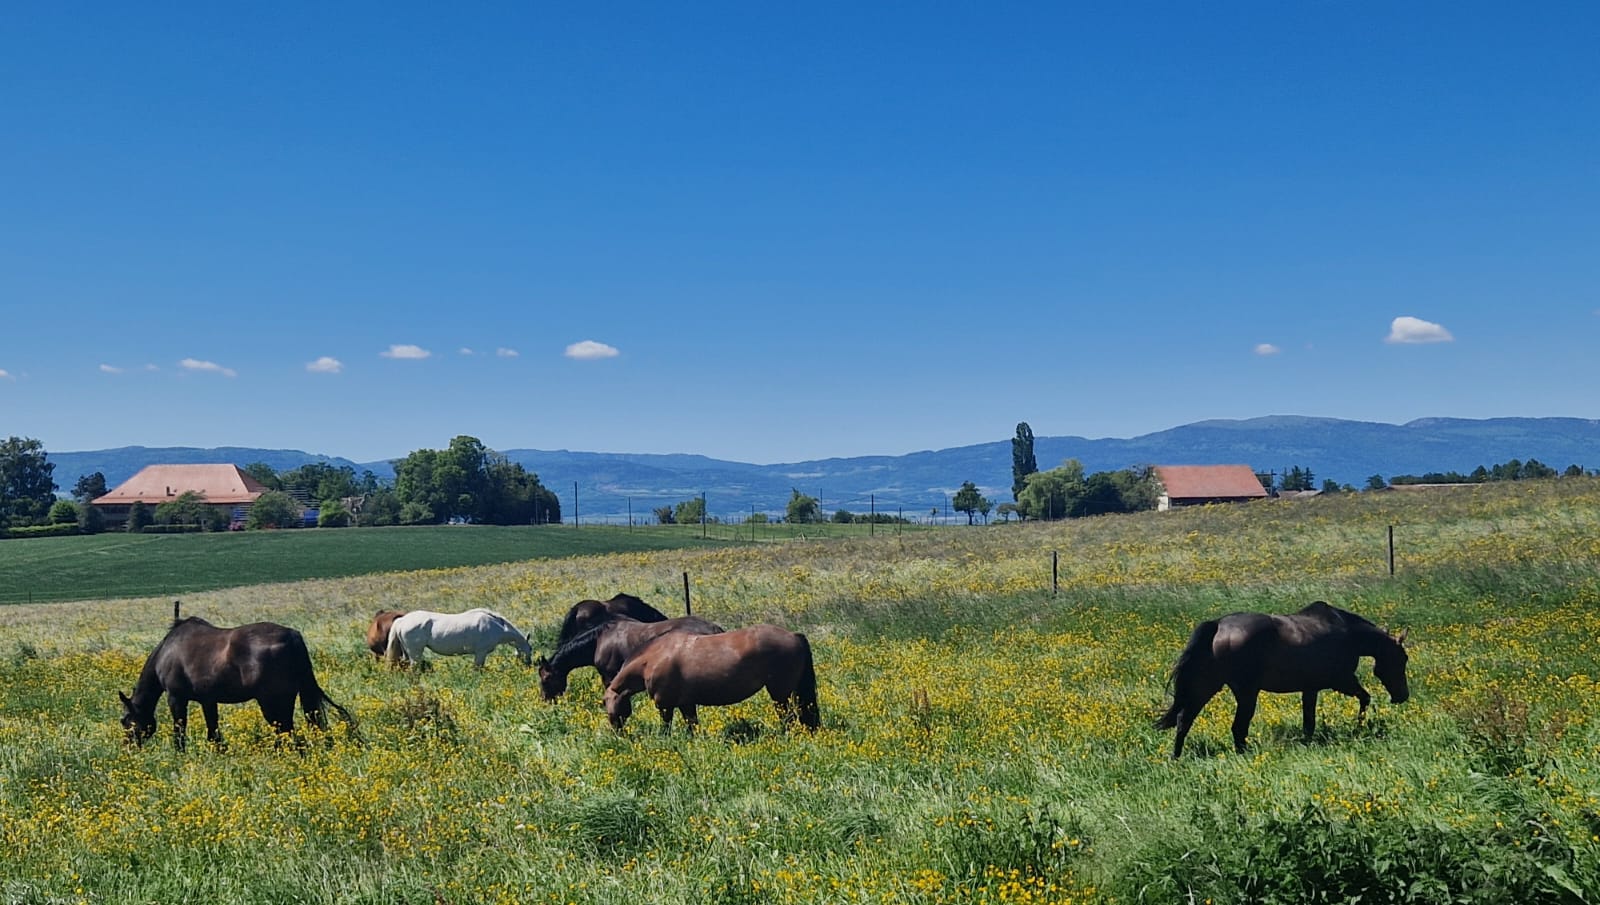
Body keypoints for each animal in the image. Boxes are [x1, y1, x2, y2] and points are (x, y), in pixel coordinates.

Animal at [118, 616, 356, 750]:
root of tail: (292, 635)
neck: (168, 651)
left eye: (125, 721)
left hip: (273, 702)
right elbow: (213, 733)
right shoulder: (208, 700)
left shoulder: (176, 698)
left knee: (287, 733)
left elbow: (180, 731)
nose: (128, 749)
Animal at [384, 608, 533, 668]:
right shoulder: (481, 653)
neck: (495, 626)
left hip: (407, 653)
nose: (529, 665)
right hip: (415, 653)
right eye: (530, 649)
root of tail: (402, 620)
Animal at [603, 623, 820, 734]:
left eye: (604, 702)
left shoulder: (665, 705)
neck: (652, 659)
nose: (617, 732)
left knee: (788, 718)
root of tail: (793, 635)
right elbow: (693, 726)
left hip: (780, 694)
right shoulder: (686, 704)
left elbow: (665, 728)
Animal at [1156, 601, 1409, 759]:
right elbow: (1365, 698)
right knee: (1238, 727)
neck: (1349, 633)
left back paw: (1175, 757)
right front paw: (1359, 726)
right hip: (1246, 692)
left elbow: (1309, 722)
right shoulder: (1342, 680)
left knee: (1184, 720)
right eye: (1402, 659)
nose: (1402, 696)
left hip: (1206, 687)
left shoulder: (1311, 689)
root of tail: (1218, 625)